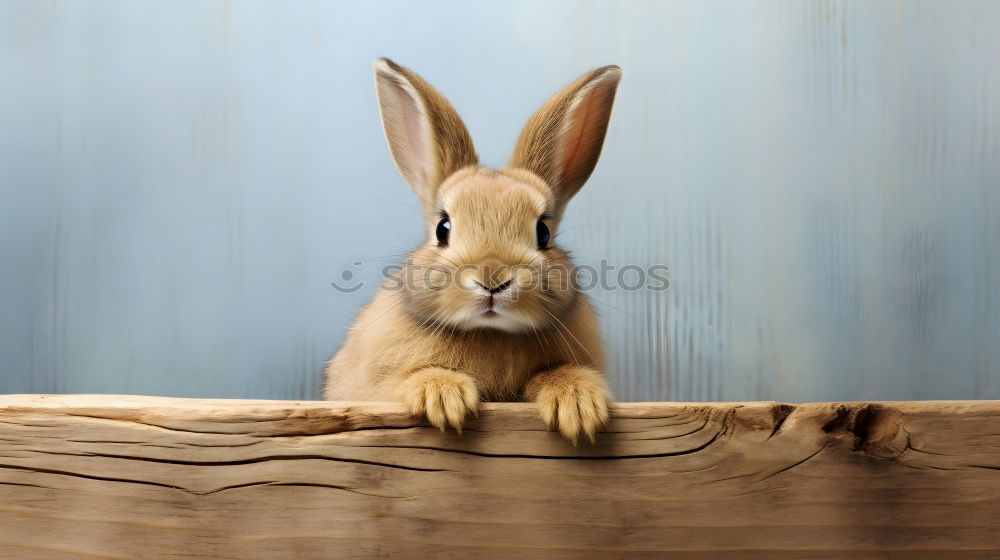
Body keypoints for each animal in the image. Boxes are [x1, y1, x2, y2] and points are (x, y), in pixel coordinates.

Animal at [324, 57, 620, 442]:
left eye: (542, 233)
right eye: (443, 229)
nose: (492, 281)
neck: (489, 331)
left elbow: (558, 373)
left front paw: (578, 406)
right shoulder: (372, 388)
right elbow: (403, 381)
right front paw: (443, 397)